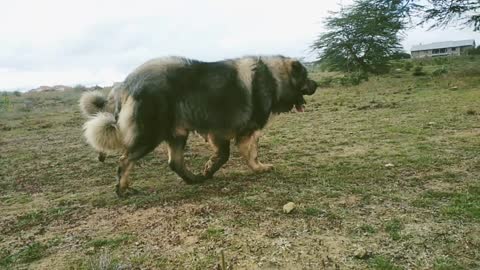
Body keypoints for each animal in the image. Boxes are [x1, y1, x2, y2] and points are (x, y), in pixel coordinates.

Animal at [80, 56, 316, 196]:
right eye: (306, 76)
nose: (316, 85)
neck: (275, 77)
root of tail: (127, 83)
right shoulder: (242, 131)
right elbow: (247, 155)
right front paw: (259, 168)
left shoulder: (221, 132)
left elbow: (226, 155)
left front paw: (209, 169)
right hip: (151, 134)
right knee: (125, 159)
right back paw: (122, 188)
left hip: (177, 133)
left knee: (175, 163)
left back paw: (193, 179)